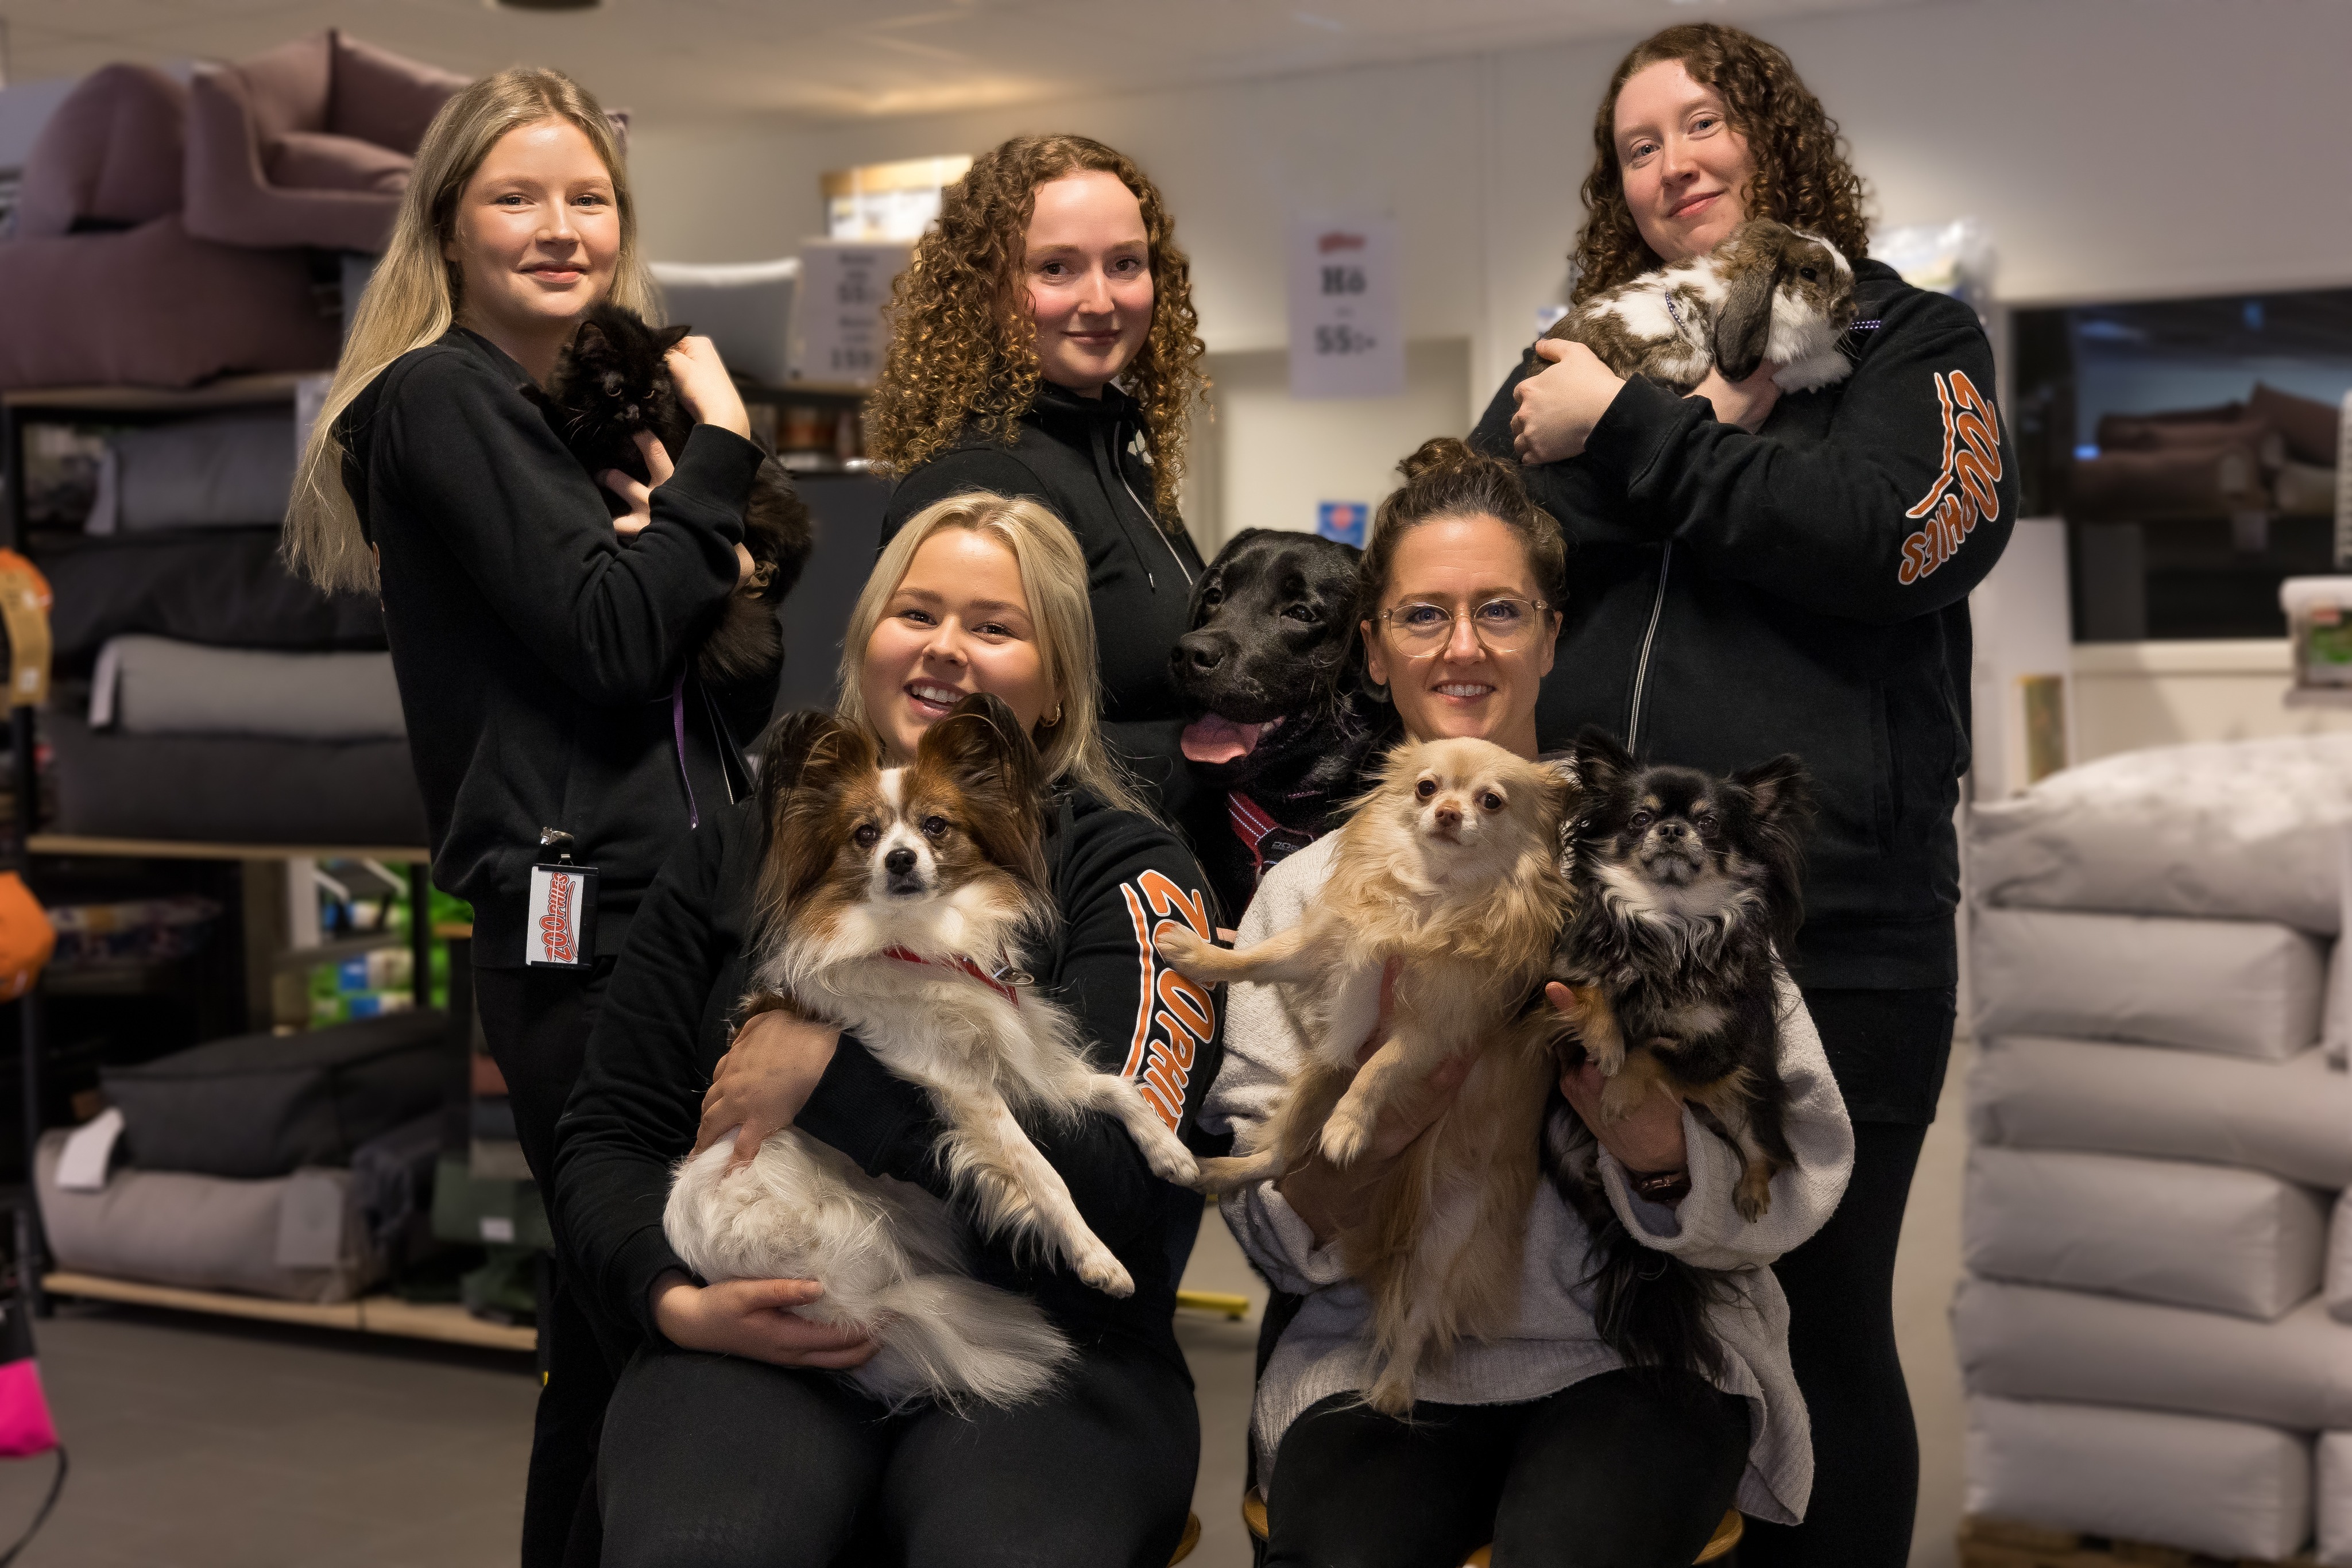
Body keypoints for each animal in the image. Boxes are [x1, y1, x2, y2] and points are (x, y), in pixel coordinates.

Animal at [1155, 736, 1571, 1411]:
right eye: (1427, 788)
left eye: (1491, 801)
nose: (1448, 813)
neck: (1430, 894)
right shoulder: (1321, 952)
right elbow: (1260, 957)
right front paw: (1201, 955)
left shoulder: (1431, 1036)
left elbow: (1376, 1070)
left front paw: (1350, 1126)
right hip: (1315, 1082)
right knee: (1277, 1158)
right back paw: (1216, 1170)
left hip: (1448, 1237)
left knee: (1419, 1317)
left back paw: (1394, 1392)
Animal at [1543, 726, 1811, 1223]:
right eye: (1639, 818)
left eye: (1709, 823)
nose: (1670, 828)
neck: (1668, 921)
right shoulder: (1559, 990)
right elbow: (1595, 990)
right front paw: (1608, 1043)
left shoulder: (1717, 1047)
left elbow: (1652, 1049)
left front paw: (1620, 1089)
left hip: (1744, 1095)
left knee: (1766, 1153)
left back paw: (1752, 1192)